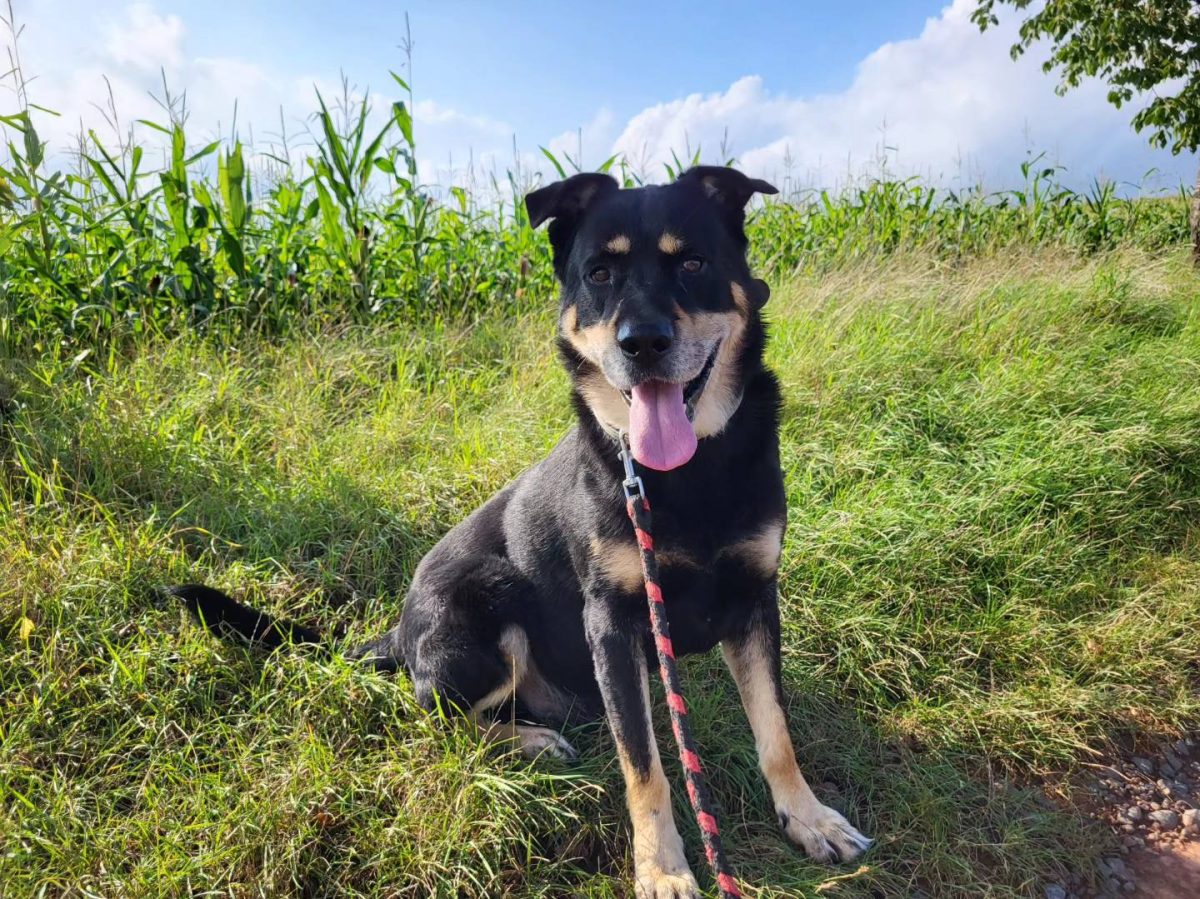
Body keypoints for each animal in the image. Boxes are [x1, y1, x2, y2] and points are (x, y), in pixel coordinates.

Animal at [174, 166, 873, 897]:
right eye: (599, 273)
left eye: (692, 263)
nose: (642, 344)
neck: (686, 472)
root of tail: (399, 630)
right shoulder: (611, 624)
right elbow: (645, 767)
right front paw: (662, 869)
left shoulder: (756, 597)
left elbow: (775, 732)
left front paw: (809, 819)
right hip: (486, 597)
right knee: (439, 717)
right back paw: (532, 741)